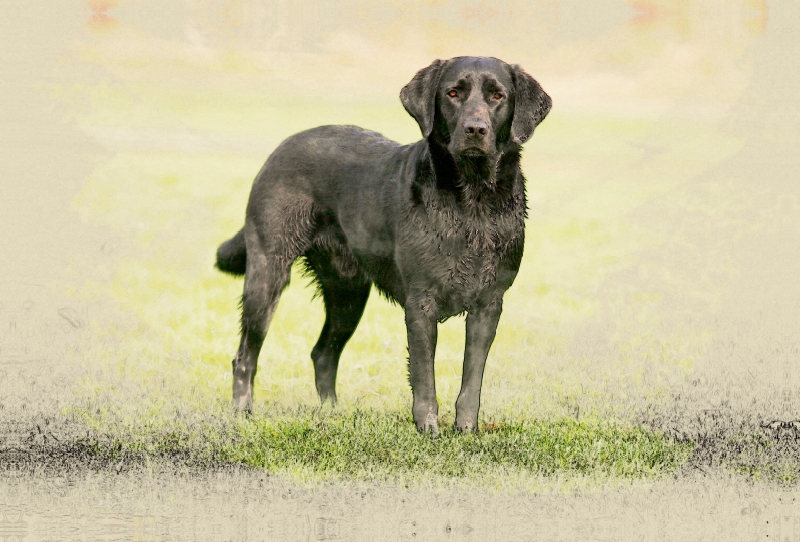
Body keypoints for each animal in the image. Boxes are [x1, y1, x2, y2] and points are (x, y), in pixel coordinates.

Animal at [217, 56, 552, 438]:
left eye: (498, 96)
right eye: (453, 93)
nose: (475, 129)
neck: (473, 206)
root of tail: (280, 148)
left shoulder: (489, 305)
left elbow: (472, 379)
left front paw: (467, 431)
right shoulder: (420, 304)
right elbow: (424, 377)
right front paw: (428, 431)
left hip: (348, 293)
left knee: (323, 353)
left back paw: (332, 414)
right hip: (267, 275)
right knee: (245, 355)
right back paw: (242, 413)